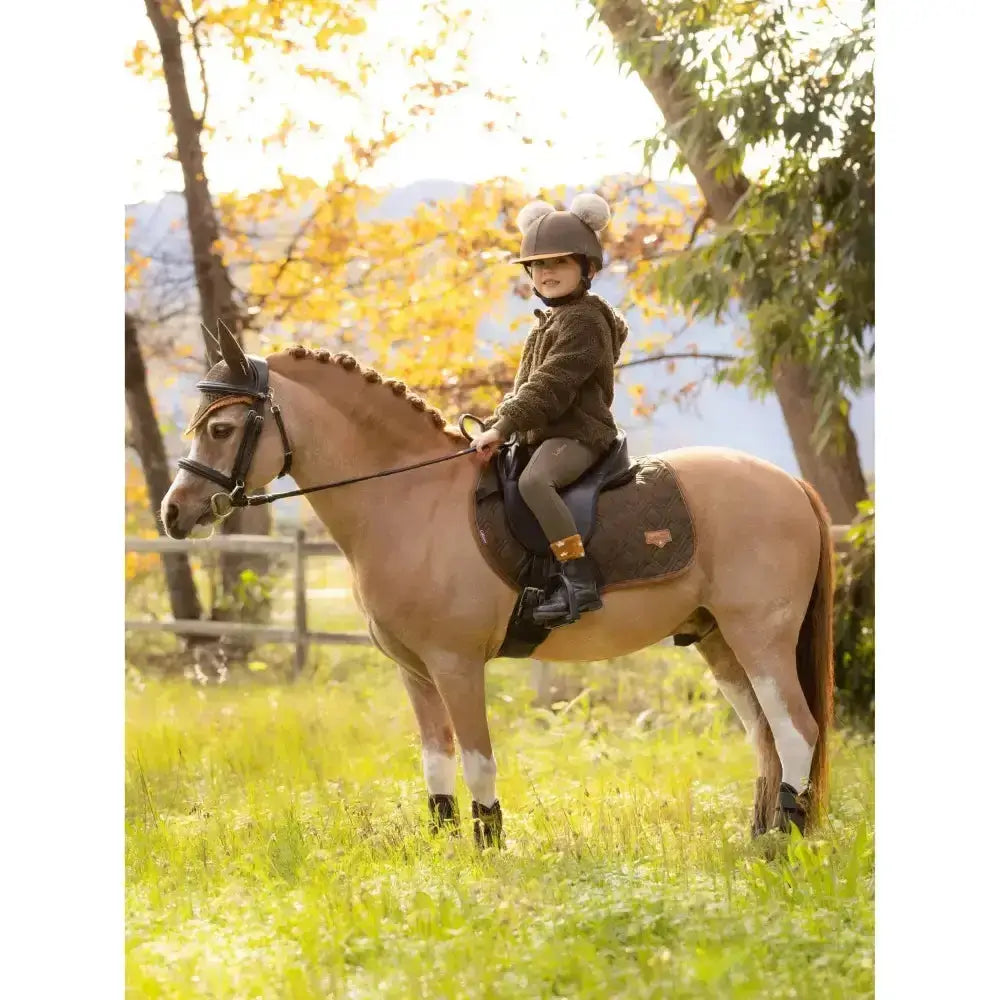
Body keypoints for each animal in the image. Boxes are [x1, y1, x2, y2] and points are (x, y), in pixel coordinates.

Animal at [161, 327, 834, 846]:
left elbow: (478, 762)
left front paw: (488, 852)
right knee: (767, 737)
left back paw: (787, 840)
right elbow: (436, 762)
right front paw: (443, 850)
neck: (409, 499)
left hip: (760, 637)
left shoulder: (456, 665)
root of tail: (791, 484)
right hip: (719, 643)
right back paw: (762, 839)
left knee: (797, 730)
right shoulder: (415, 672)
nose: (173, 513)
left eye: (221, 430)